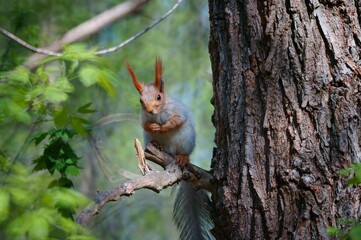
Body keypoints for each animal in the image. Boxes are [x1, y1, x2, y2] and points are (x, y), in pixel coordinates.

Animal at [125, 58, 212, 240]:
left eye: (159, 96)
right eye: (140, 101)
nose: (150, 110)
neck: (158, 114)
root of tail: (170, 152)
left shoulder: (178, 110)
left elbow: (177, 120)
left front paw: (165, 127)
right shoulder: (144, 118)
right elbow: (145, 125)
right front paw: (153, 127)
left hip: (185, 141)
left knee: (183, 152)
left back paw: (183, 157)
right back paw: (158, 146)